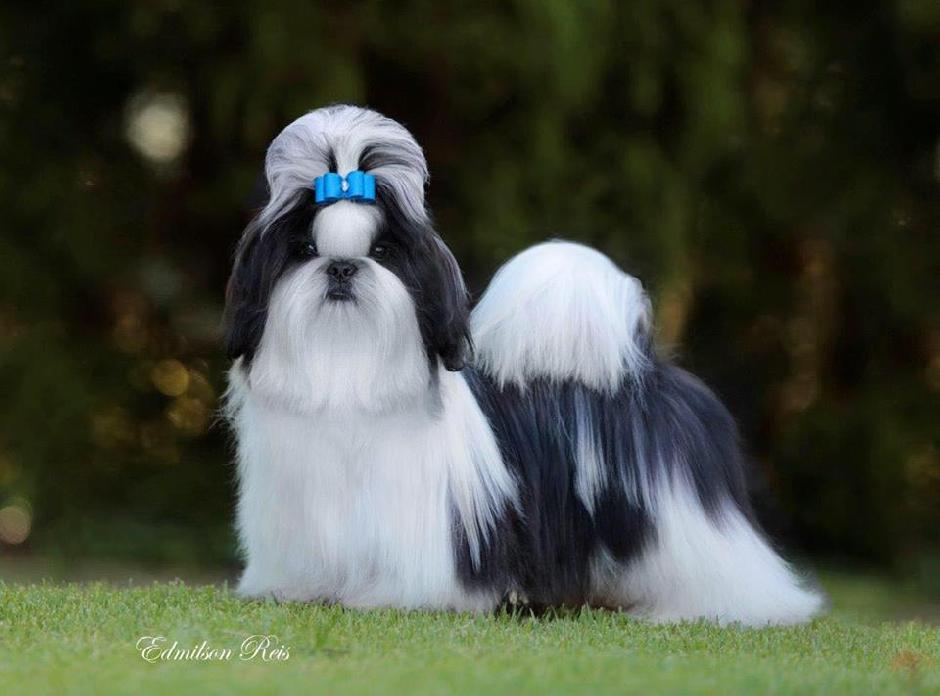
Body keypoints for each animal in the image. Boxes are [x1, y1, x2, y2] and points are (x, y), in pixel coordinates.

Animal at [223, 104, 823, 625]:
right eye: (304, 250)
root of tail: (645, 368)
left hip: (684, 519)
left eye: (383, 254)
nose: (342, 267)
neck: (345, 372)